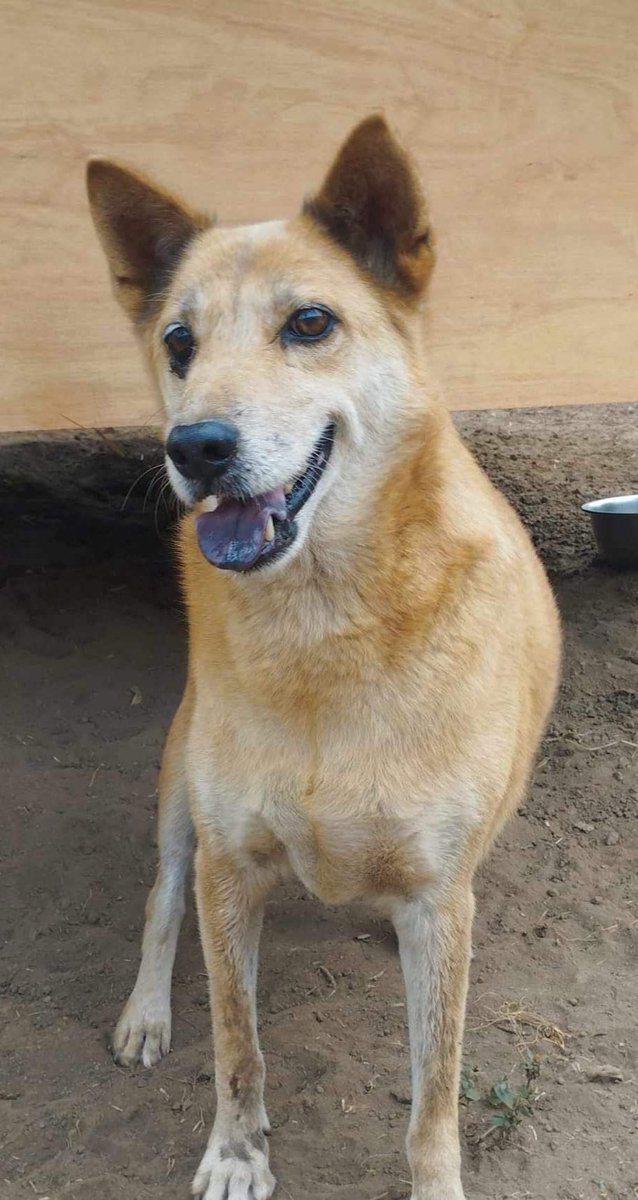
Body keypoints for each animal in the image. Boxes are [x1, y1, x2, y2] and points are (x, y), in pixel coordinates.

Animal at [88, 114, 558, 1200]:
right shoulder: (228, 869)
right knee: (160, 897)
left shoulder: (441, 901)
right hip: (178, 793)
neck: (319, 635)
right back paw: (145, 1012)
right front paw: (234, 1153)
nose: (194, 445)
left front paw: (434, 1182)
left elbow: (434, 1095)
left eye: (309, 323)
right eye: (179, 342)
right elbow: (237, 1041)